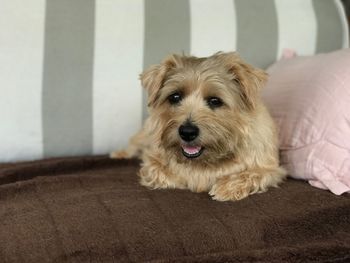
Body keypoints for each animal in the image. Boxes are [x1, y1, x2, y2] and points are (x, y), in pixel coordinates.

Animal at [110, 51, 286, 202]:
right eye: (175, 97)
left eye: (215, 101)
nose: (187, 132)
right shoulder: (152, 160)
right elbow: (164, 172)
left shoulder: (270, 169)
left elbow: (251, 174)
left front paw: (226, 187)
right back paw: (120, 154)